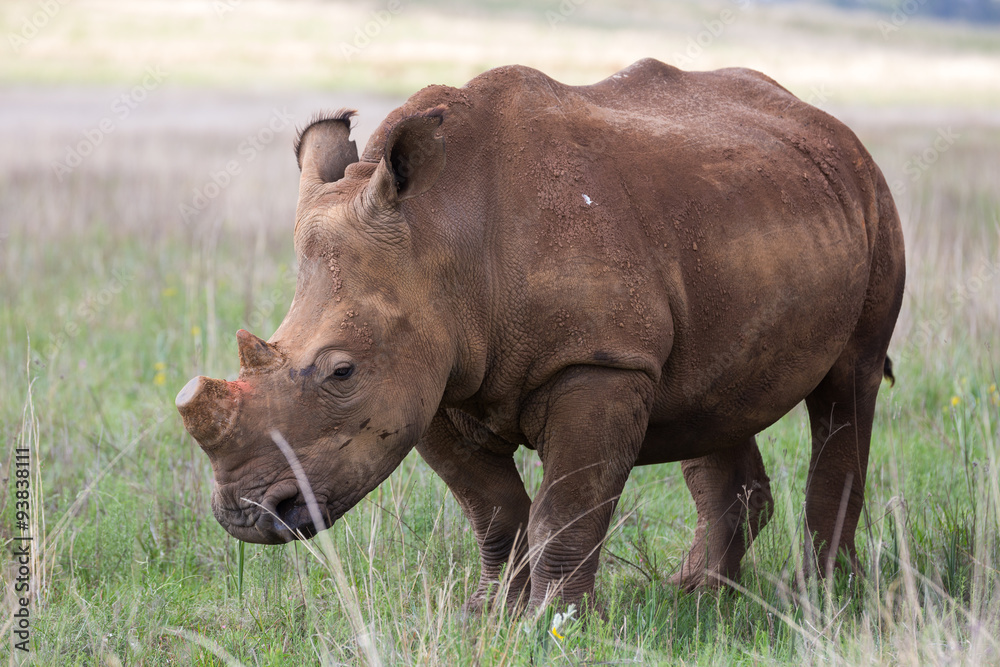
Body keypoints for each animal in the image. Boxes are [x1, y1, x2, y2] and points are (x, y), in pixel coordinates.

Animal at [176, 58, 905, 610]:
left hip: (871, 200)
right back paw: (698, 597)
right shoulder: (432, 377)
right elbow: (494, 511)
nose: (246, 514)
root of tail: (826, 122)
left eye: (341, 372)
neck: (443, 232)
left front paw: (556, 622)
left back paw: (820, 599)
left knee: (850, 385)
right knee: (716, 402)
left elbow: (568, 508)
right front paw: (489, 613)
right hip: (745, 209)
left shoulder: (598, 363)